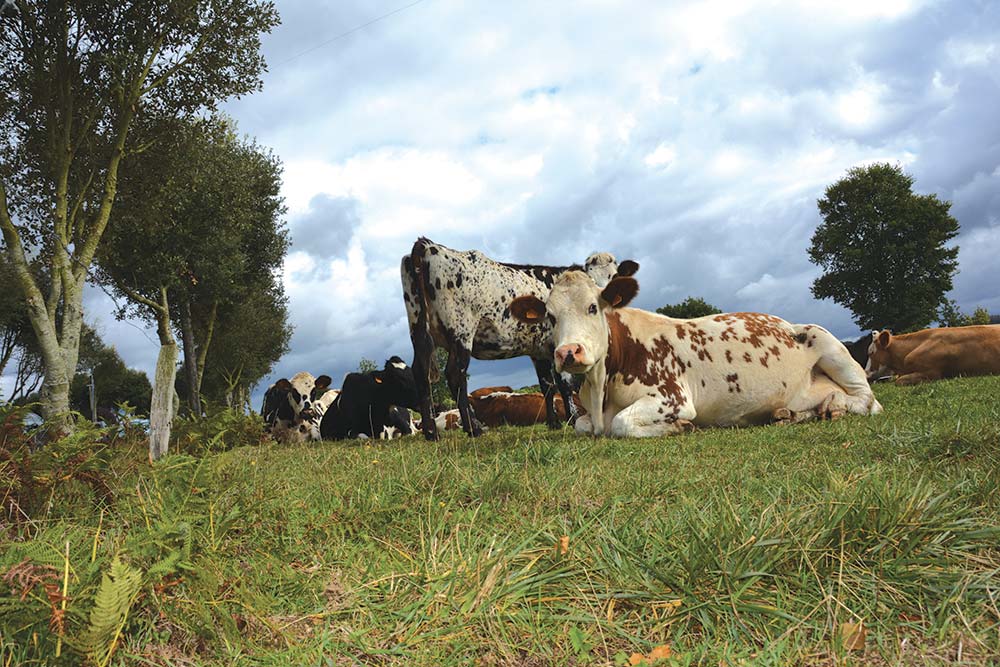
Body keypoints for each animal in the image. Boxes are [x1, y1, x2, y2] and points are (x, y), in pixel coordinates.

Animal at [396, 237, 636, 440]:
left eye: (614, 277)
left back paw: (431, 432)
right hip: (461, 331)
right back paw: (473, 428)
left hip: (419, 329)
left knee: (421, 372)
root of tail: (427, 245)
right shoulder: (557, 344)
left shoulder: (539, 349)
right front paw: (572, 419)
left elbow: (547, 385)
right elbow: (565, 384)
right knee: (455, 374)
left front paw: (554, 423)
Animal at [512, 272, 880, 438]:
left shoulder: (672, 397)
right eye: (550, 317)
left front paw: (679, 427)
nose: (568, 352)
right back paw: (791, 413)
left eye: (592, 307)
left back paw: (835, 405)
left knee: (868, 401)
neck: (602, 385)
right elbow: (581, 425)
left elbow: (621, 423)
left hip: (827, 341)